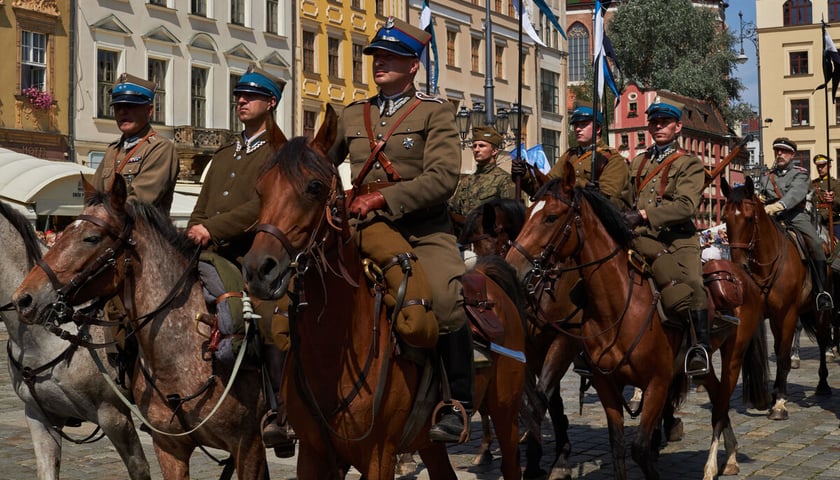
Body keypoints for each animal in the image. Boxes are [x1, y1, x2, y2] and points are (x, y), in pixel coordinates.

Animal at [238, 107, 524, 478]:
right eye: (261, 190)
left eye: (314, 187)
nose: (258, 269)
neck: (334, 345)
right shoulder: (313, 456)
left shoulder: (379, 455)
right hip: (428, 441)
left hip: (505, 414)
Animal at [508, 171, 772, 478]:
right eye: (527, 214)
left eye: (551, 217)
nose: (511, 268)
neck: (617, 305)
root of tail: (741, 273)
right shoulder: (606, 384)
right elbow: (618, 447)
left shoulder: (657, 382)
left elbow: (641, 449)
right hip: (698, 366)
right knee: (717, 393)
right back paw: (729, 455)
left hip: (734, 354)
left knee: (721, 403)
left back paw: (712, 465)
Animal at [720, 175, 832, 416]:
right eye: (725, 219)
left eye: (749, 219)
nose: (739, 265)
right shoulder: (763, 315)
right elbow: (771, 350)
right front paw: (770, 394)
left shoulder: (788, 314)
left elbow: (782, 355)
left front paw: (780, 402)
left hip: (820, 312)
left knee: (822, 340)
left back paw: (823, 384)